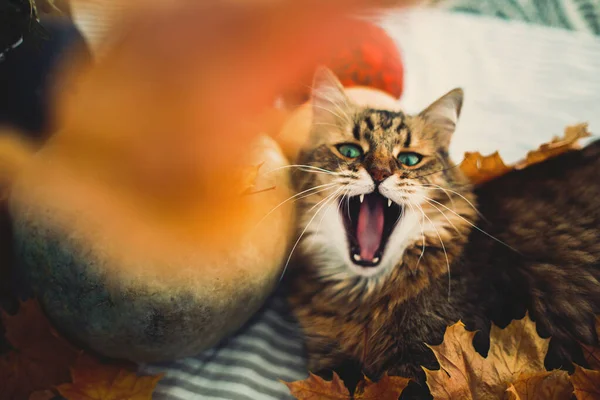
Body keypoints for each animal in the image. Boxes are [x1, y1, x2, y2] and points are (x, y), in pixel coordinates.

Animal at [286, 67, 600, 398]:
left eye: (409, 159)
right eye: (349, 150)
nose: (379, 173)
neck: (363, 296)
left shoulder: (421, 363)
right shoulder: (330, 363)